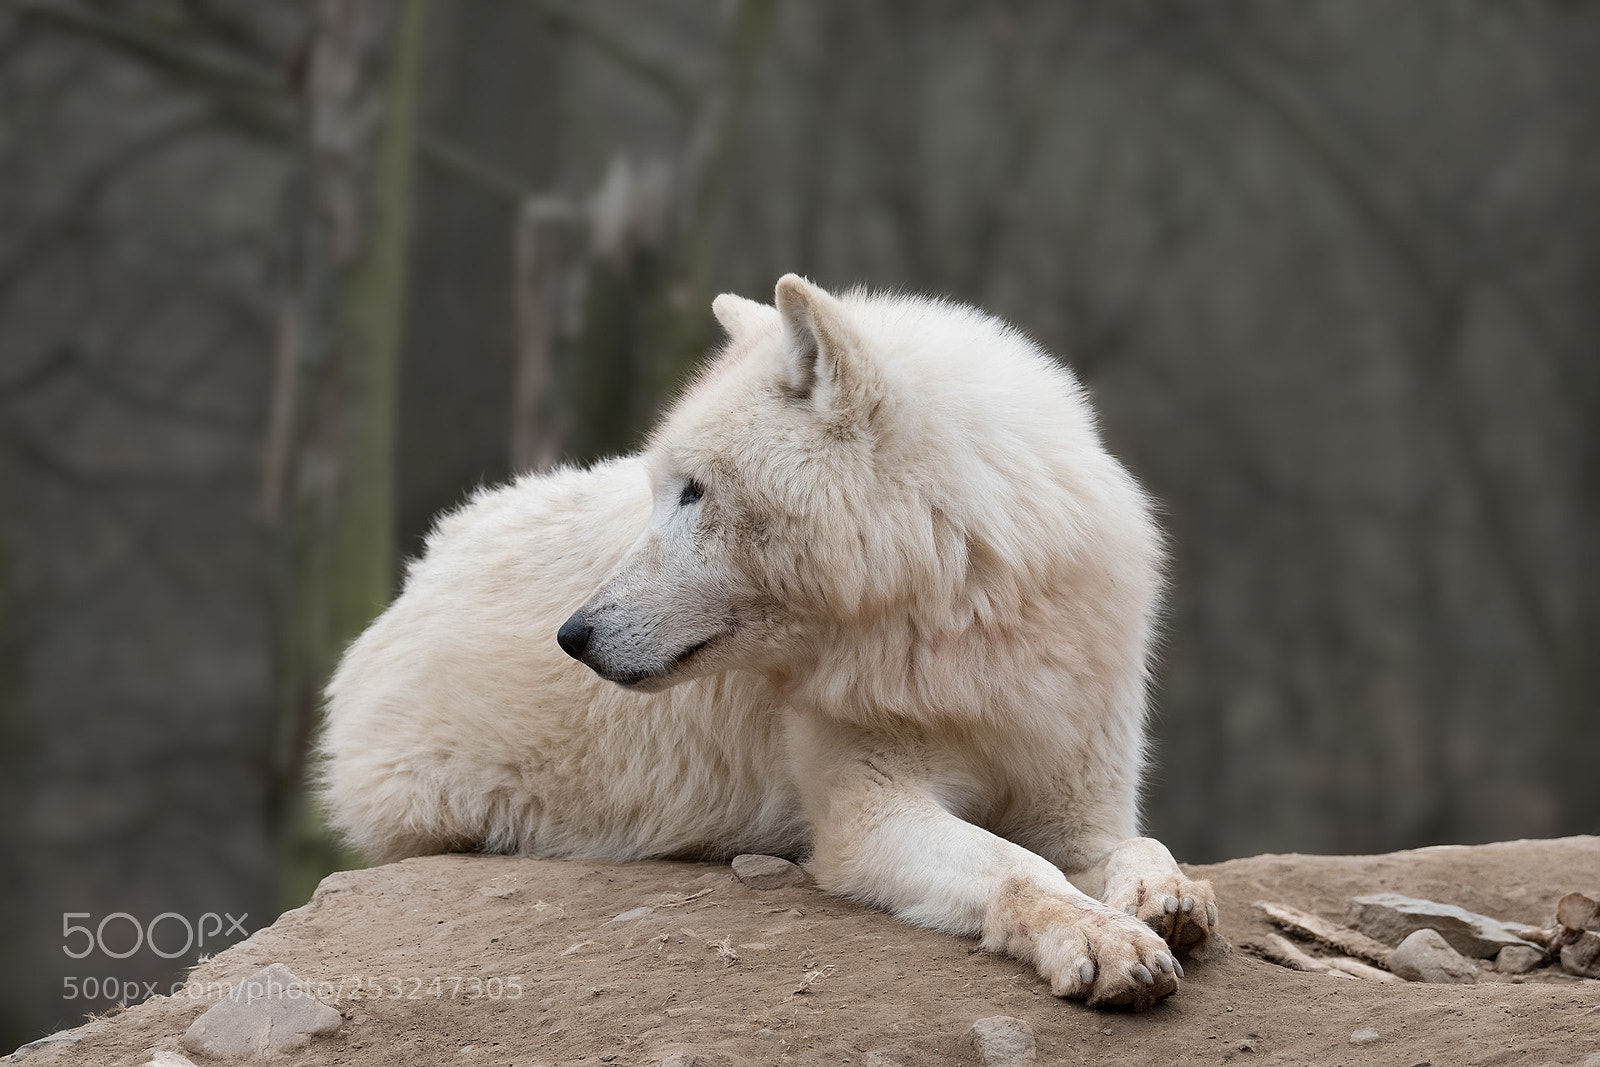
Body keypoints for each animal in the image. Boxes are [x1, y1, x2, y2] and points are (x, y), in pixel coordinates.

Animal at [320, 275, 1217, 1010]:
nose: (572, 635)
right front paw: (1100, 937)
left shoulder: (1080, 806)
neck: (961, 613)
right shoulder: (866, 813)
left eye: (693, 492)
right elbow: (1020, 867)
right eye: (660, 491)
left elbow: (1137, 844)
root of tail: (427, 557)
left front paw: (1165, 897)